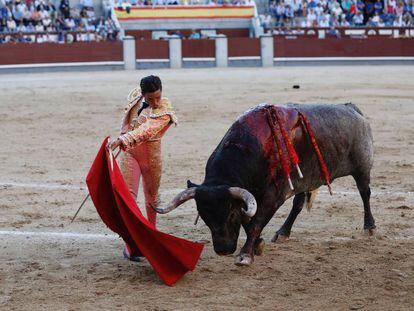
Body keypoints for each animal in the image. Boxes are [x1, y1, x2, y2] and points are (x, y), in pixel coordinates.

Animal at [152, 103, 376, 266]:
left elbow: (255, 223)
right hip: (304, 178)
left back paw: (369, 227)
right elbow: (249, 221)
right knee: (298, 204)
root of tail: (351, 108)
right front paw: (258, 245)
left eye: (230, 214)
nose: (223, 250)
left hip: (362, 168)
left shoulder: (272, 196)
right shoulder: (251, 196)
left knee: (365, 193)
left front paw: (245, 255)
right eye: (204, 216)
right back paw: (283, 232)